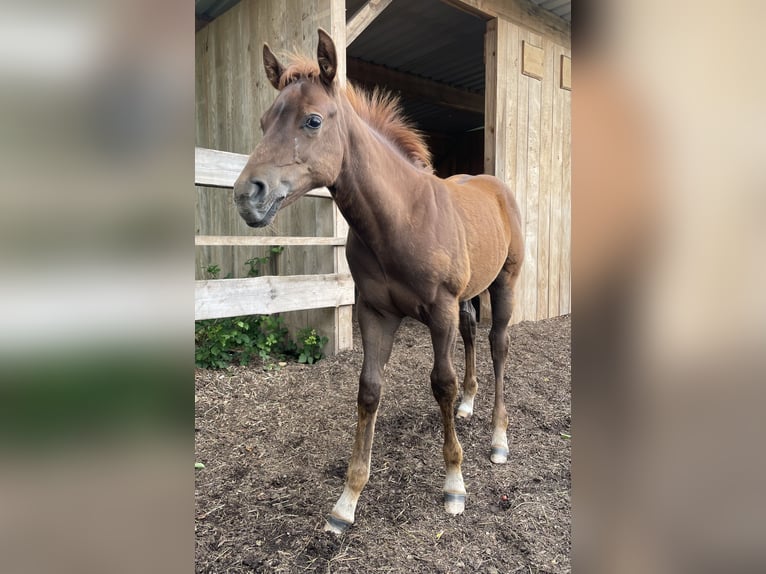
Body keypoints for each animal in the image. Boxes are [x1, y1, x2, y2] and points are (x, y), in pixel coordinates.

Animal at [233, 29, 524, 535]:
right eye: (266, 121)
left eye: (313, 120)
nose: (247, 195)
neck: (401, 218)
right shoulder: (375, 312)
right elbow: (369, 389)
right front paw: (346, 502)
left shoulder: (439, 311)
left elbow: (441, 383)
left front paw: (454, 484)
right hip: (469, 296)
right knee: (473, 333)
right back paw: (469, 405)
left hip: (504, 283)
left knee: (498, 344)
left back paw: (498, 438)